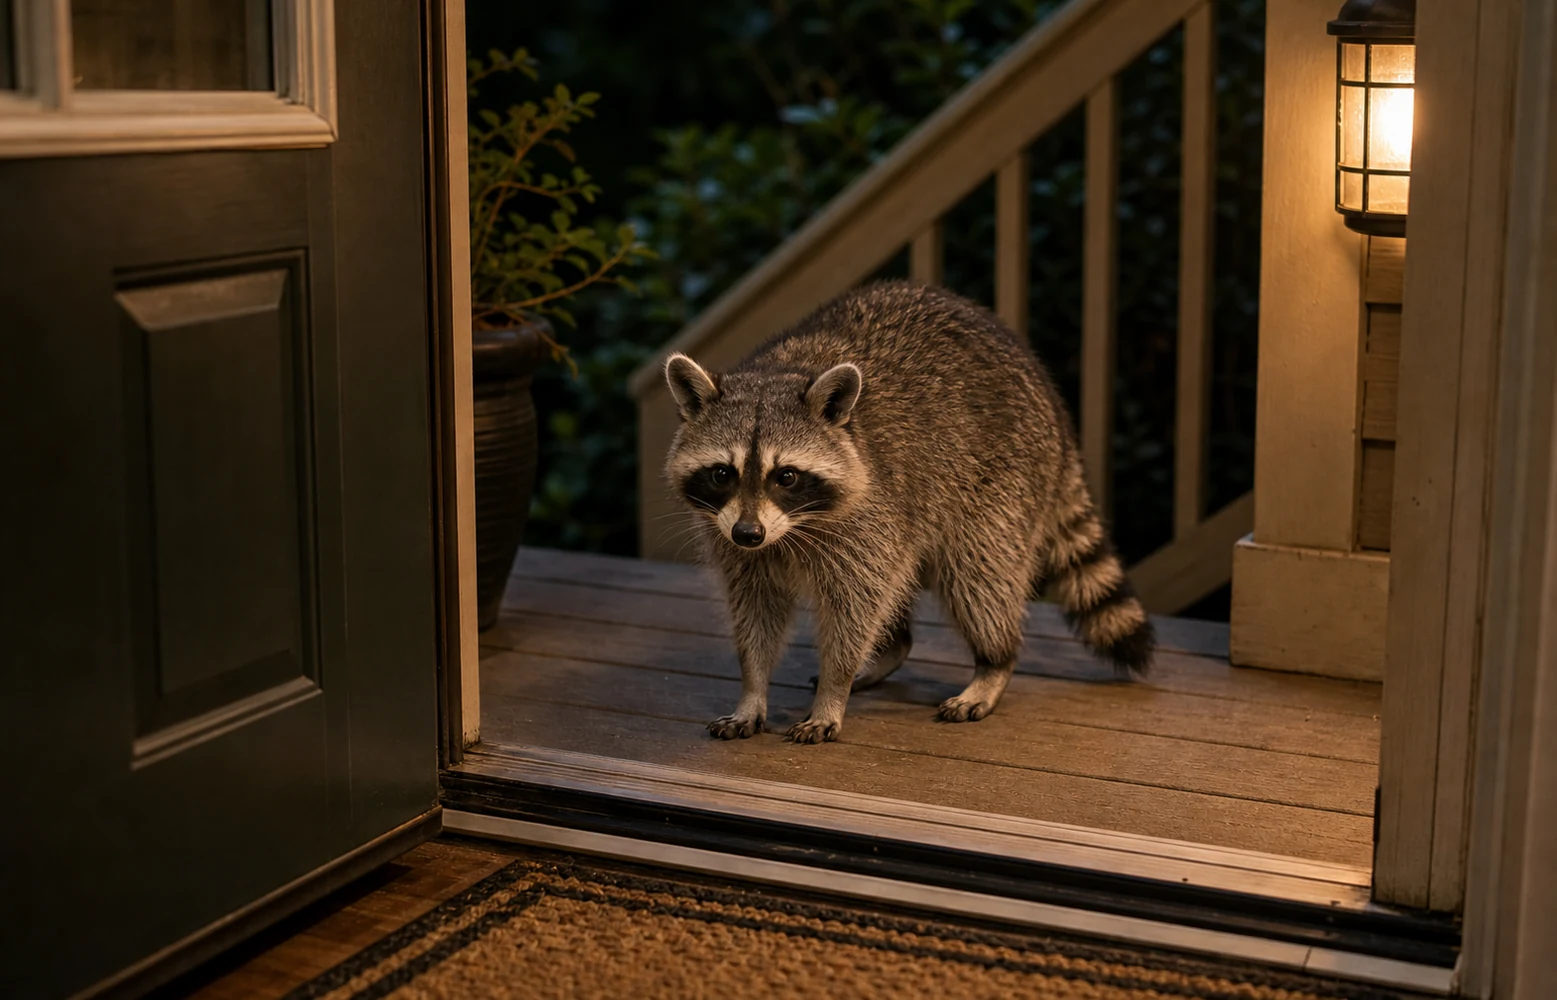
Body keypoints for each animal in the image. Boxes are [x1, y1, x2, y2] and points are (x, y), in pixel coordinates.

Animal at [662, 280, 1153, 744]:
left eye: (786, 477)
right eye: (722, 473)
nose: (749, 533)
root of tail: (1056, 408)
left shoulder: (870, 514)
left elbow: (856, 608)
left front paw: (833, 692)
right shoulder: (733, 538)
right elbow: (755, 612)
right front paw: (752, 689)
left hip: (1004, 480)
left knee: (978, 577)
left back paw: (995, 661)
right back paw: (896, 647)